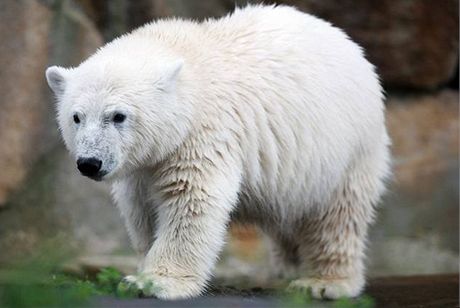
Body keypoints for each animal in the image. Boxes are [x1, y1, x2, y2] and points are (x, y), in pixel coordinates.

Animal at [46, 3, 390, 300]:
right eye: (76, 117)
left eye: (118, 116)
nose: (89, 163)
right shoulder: (143, 164)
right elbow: (142, 209)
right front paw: (143, 269)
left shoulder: (204, 134)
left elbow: (190, 200)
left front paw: (153, 282)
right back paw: (288, 268)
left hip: (346, 147)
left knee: (337, 214)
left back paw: (323, 283)